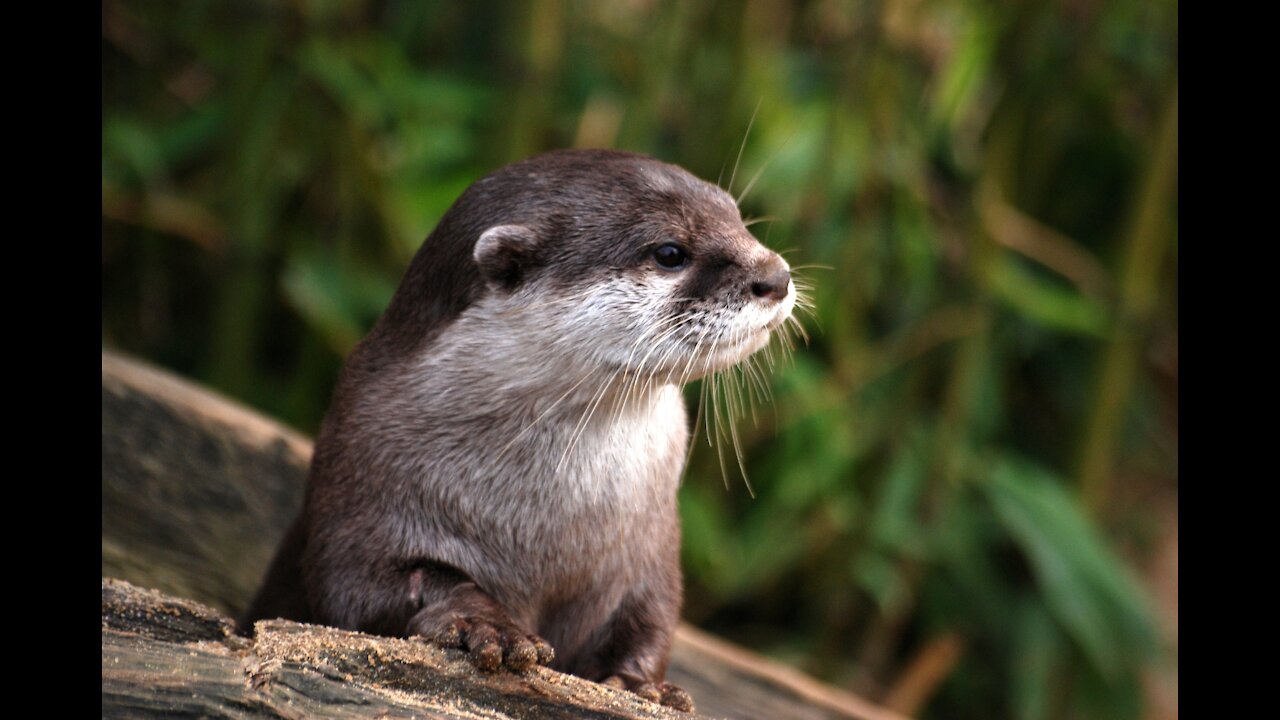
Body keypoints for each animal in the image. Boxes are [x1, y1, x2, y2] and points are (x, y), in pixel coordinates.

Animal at [240, 148, 793, 707]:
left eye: (736, 217)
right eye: (669, 252)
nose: (776, 276)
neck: (548, 527)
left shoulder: (652, 550)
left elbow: (651, 619)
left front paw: (643, 685)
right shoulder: (358, 482)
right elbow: (360, 588)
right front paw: (485, 624)